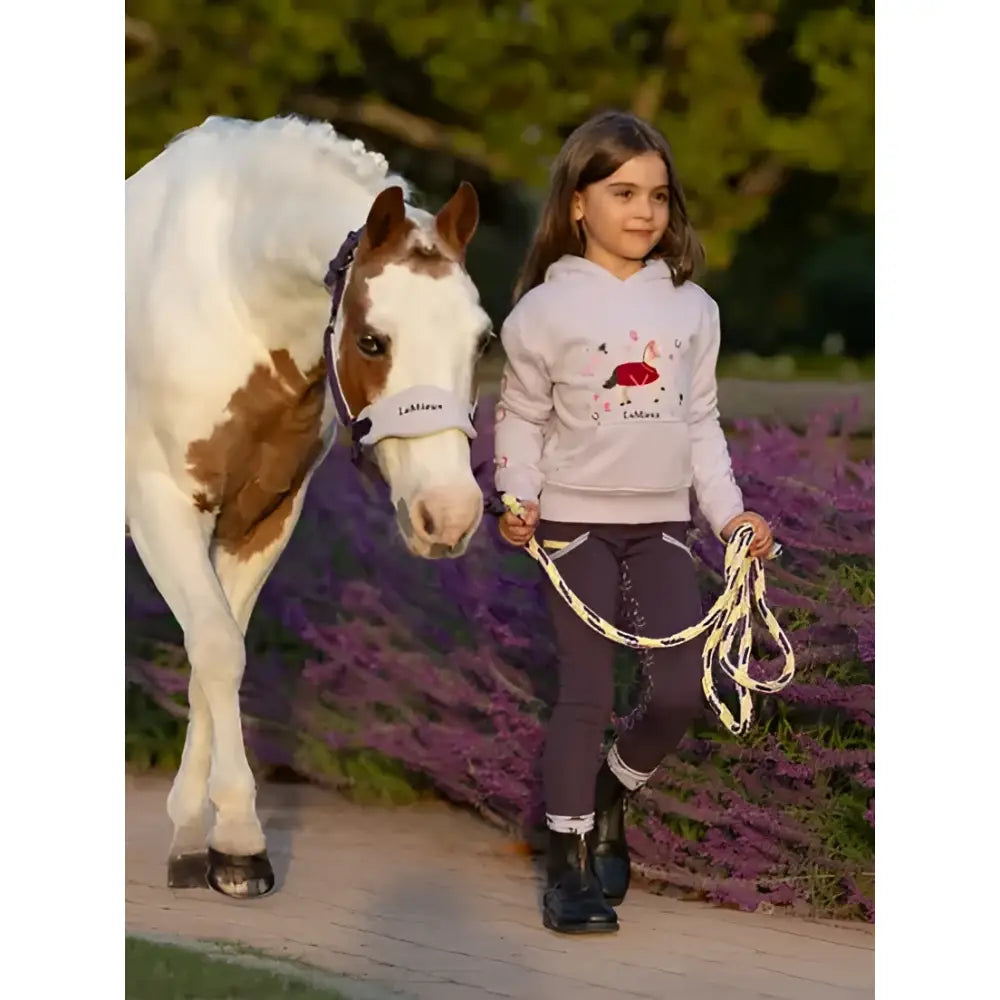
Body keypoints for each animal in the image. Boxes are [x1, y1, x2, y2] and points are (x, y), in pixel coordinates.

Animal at [125, 115, 492, 898]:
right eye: (372, 339)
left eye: (483, 340)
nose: (447, 516)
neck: (227, 291)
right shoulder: (161, 508)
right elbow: (216, 649)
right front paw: (240, 842)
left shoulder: (263, 518)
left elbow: (213, 659)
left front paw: (196, 840)